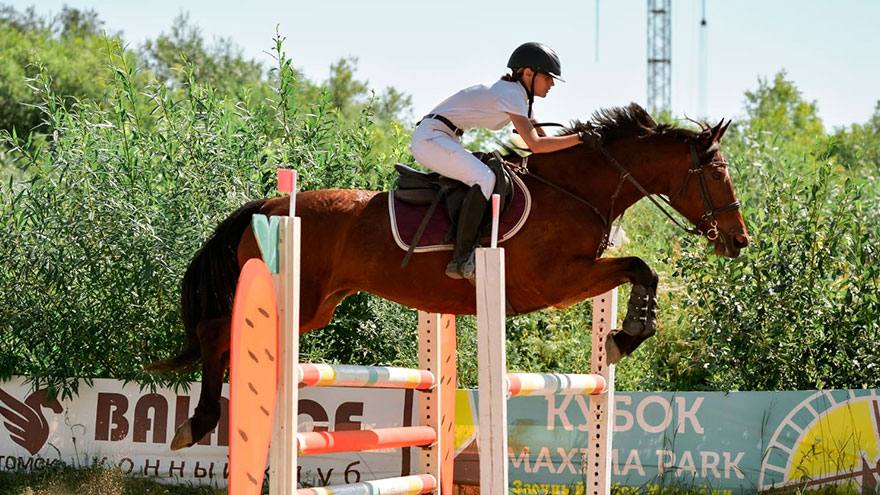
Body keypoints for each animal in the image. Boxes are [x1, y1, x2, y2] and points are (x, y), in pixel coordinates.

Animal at [150, 103, 748, 450]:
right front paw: (630, 333)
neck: (576, 191)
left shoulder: (568, 284)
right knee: (215, 333)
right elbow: (640, 266)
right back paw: (196, 423)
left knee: (227, 338)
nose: (739, 241)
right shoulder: (553, 283)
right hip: (295, 298)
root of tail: (271, 205)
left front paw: (624, 334)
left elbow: (639, 270)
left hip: (314, 308)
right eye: (718, 172)